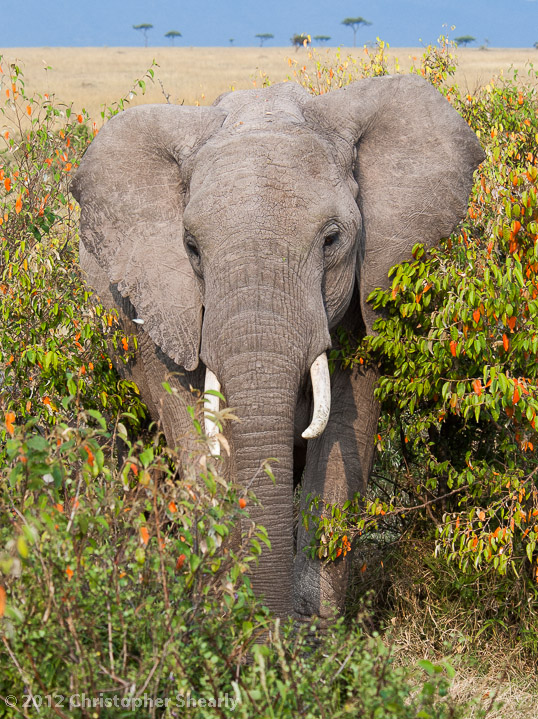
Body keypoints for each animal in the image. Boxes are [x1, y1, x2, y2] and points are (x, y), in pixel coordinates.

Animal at [71, 74, 484, 621]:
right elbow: (195, 435)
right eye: (191, 248)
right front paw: (227, 614)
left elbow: (346, 424)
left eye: (332, 240)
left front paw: (313, 626)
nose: (270, 616)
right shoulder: (151, 305)